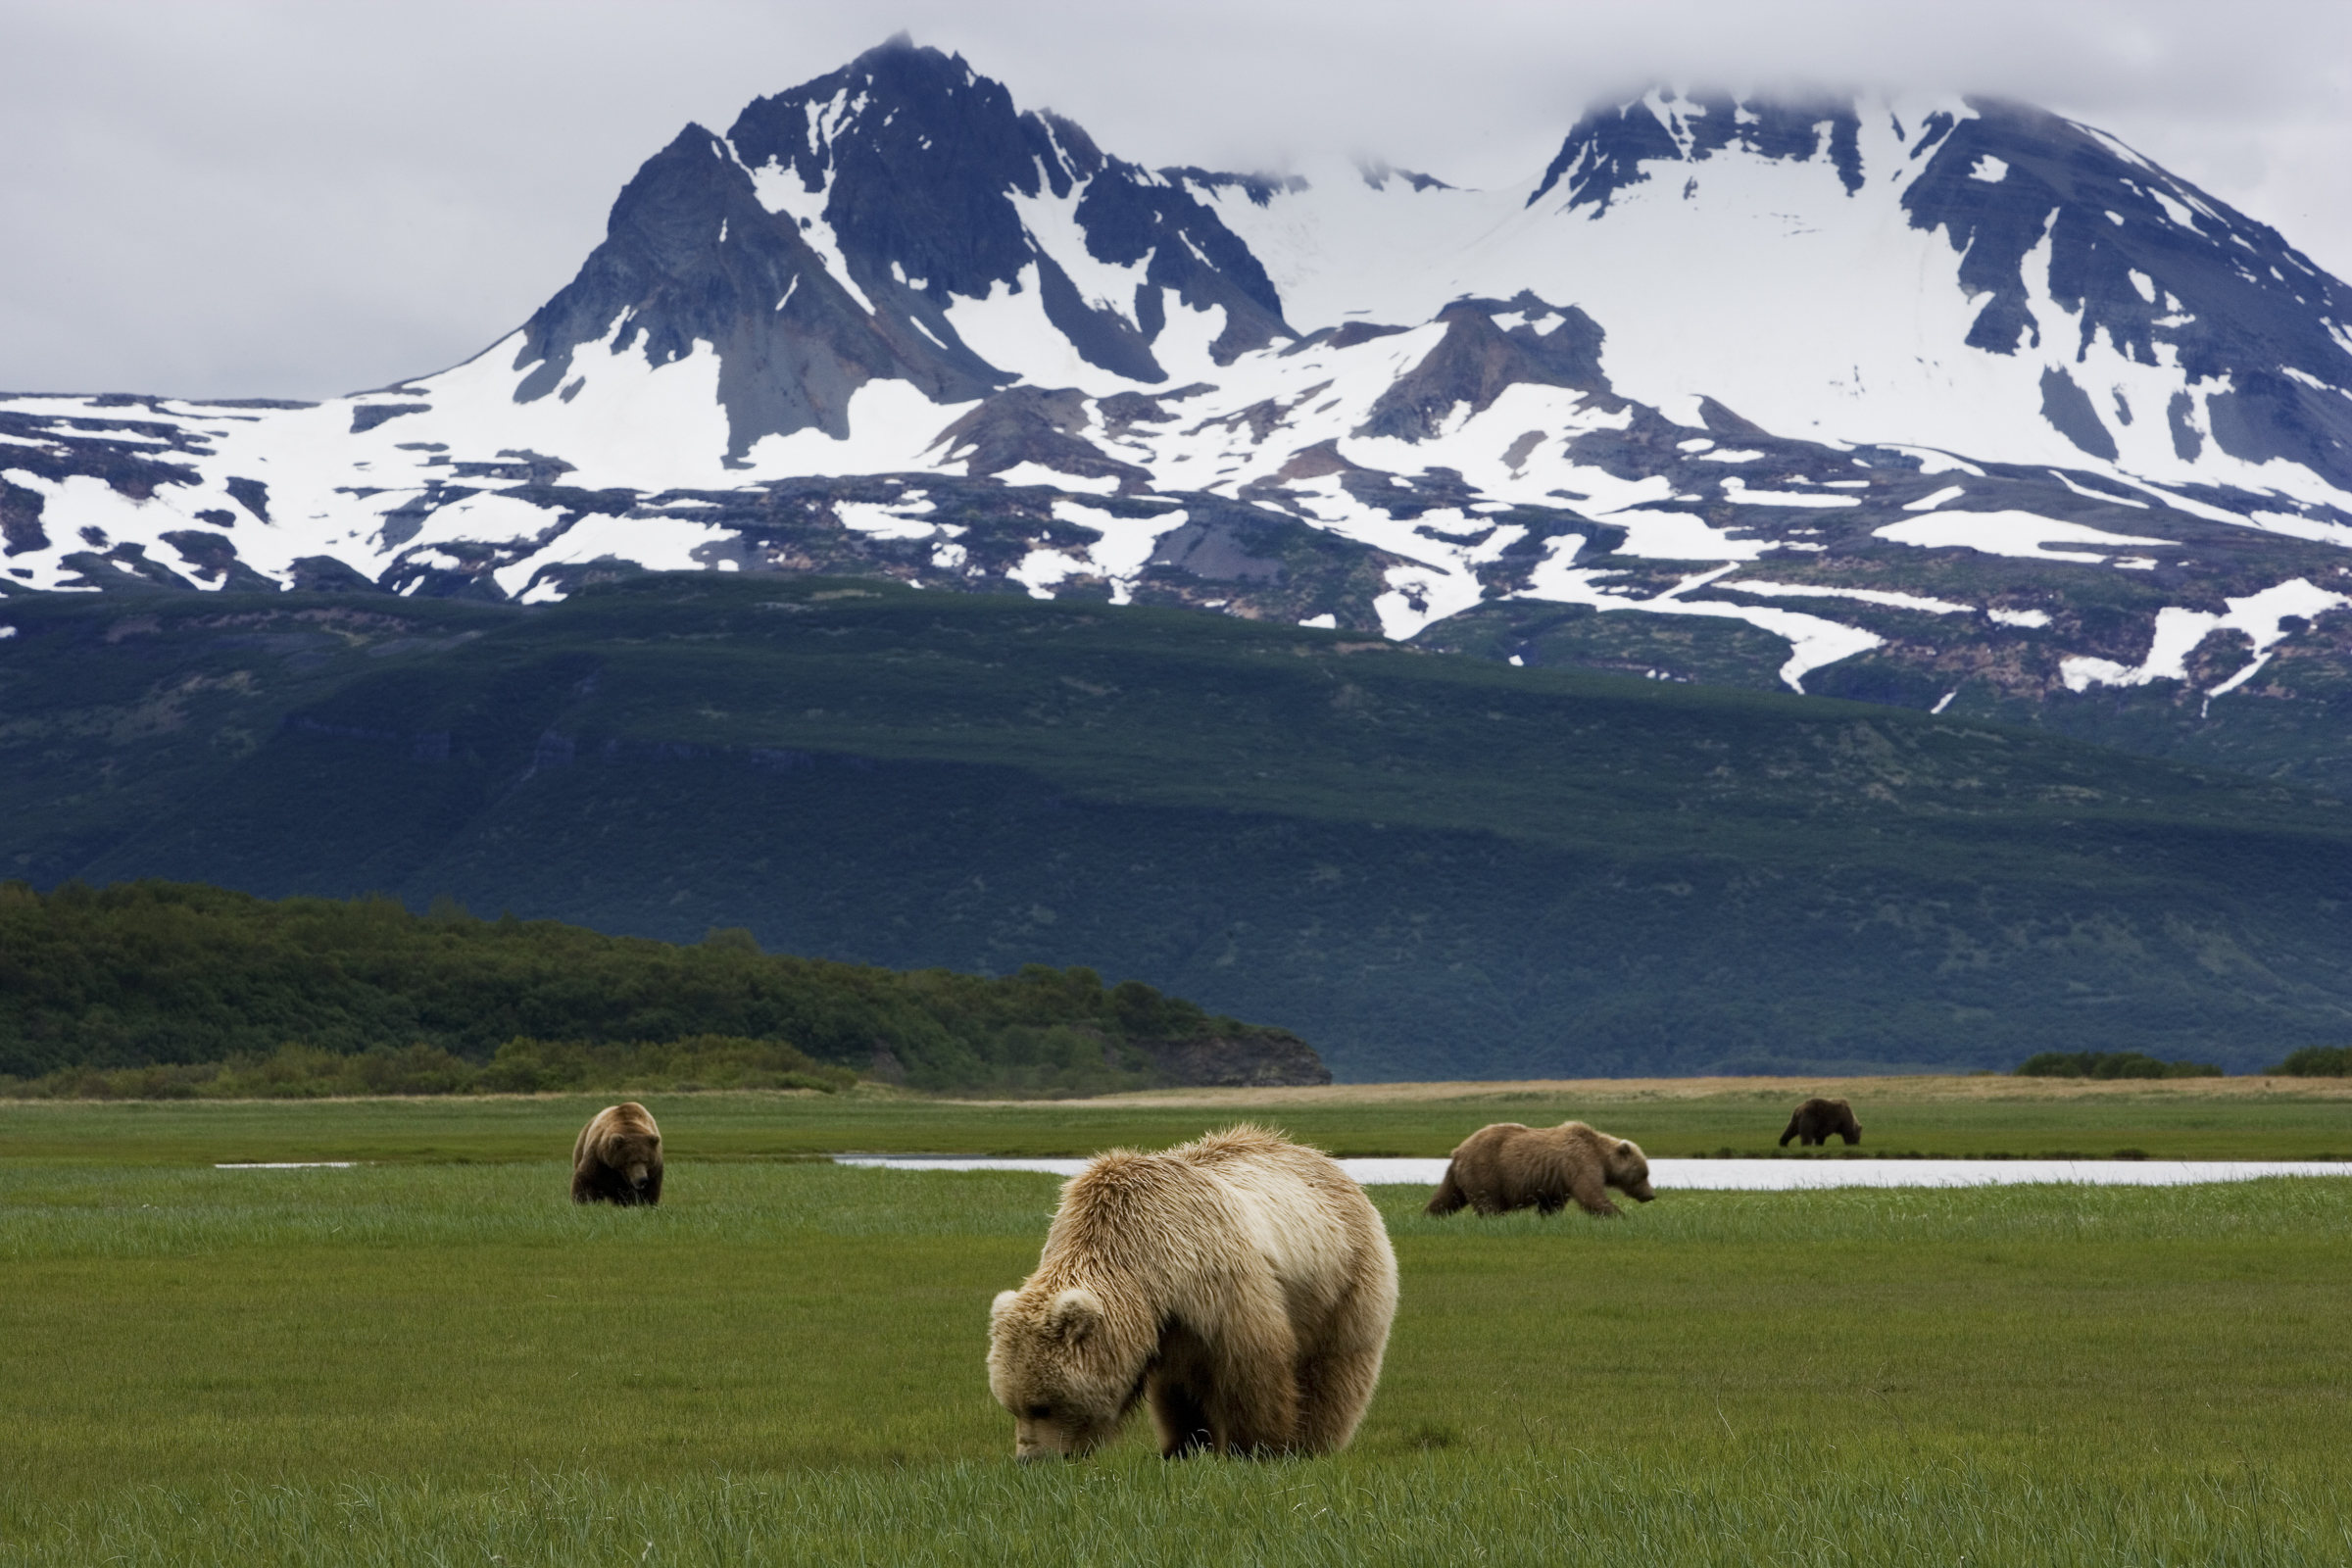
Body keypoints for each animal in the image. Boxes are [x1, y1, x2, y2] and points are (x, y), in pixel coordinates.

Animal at [978, 1123, 1383, 1466]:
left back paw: (1315, 1442)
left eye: (1043, 1406)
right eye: (1012, 1406)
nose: (1030, 1460)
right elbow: (1177, 1389)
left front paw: (1258, 1447)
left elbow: (1252, 1365)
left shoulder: (1216, 1280)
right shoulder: (1170, 1321)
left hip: (1342, 1280)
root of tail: (1327, 1161)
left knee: (1336, 1367)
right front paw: (1183, 1447)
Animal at [1411, 1123, 1655, 1222]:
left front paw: (1547, 1217)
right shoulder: (1579, 1162)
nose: (1651, 1195)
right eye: (1644, 1173)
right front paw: (1621, 1216)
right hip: (1484, 1170)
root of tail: (1459, 1150)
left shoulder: (1557, 1179)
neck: (1601, 1155)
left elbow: (1552, 1203)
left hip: (1457, 1175)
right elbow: (1590, 1194)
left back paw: (1428, 1216)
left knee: (1447, 1197)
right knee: (1488, 1202)